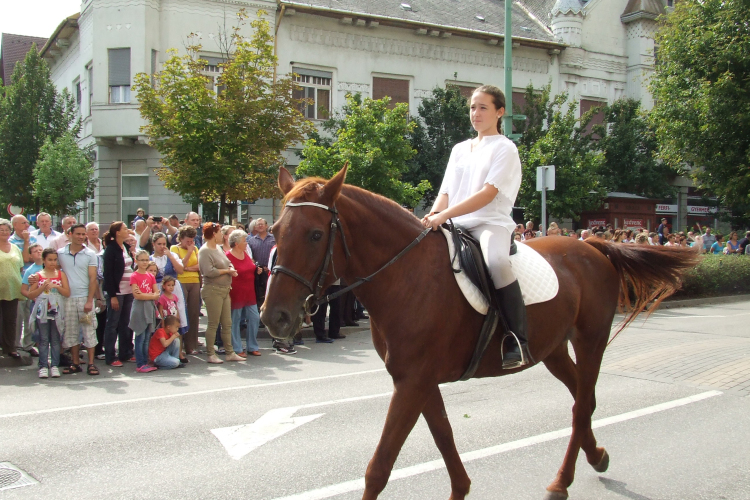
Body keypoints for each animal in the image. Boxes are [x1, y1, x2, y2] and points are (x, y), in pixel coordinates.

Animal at [262, 166, 704, 498]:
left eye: (316, 234)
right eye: (277, 229)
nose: (273, 318)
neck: (406, 276)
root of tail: (593, 246)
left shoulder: (413, 382)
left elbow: (380, 466)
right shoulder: (417, 381)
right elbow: (443, 436)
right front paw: (461, 488)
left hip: (590, 339)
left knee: (582, 405)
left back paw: (561, 482)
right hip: (553, 349)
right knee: (583, 397)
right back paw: (595, 457)